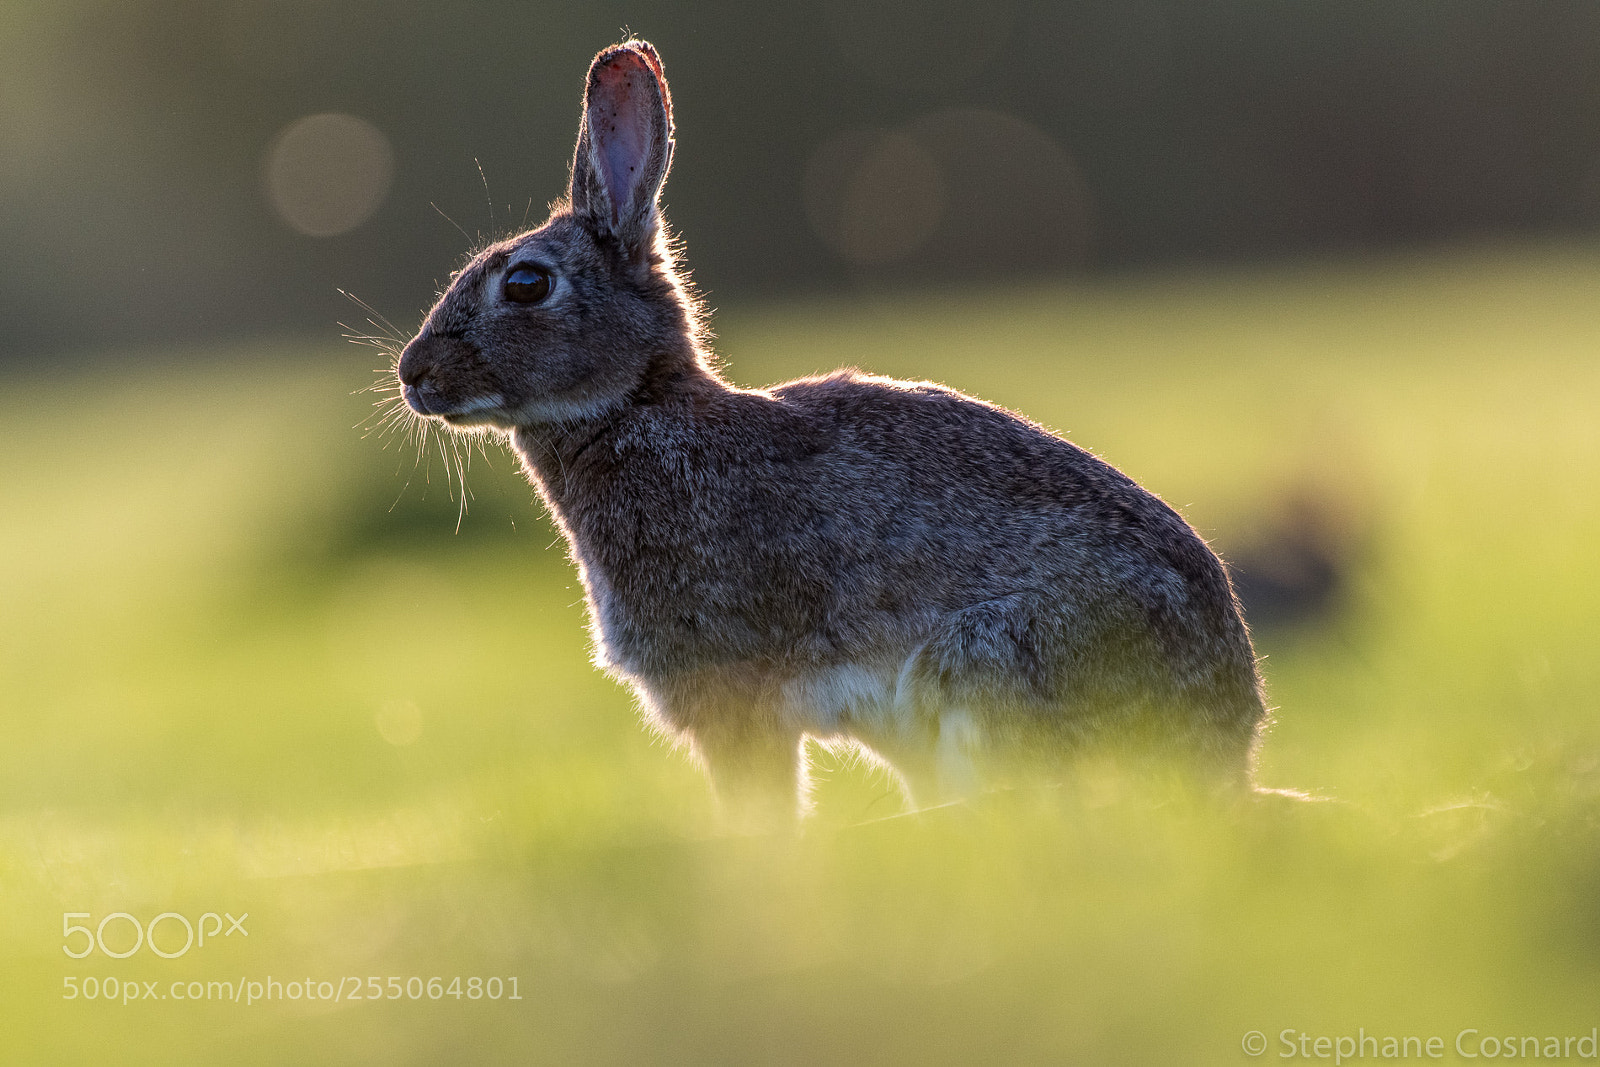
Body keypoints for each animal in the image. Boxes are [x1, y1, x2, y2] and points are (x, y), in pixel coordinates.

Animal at [395, 40, 1270, 819]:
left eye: (526, 283)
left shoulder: (731, 689)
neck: (638, 407)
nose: (412, 374)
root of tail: (1223, 745)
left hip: (987, 667)